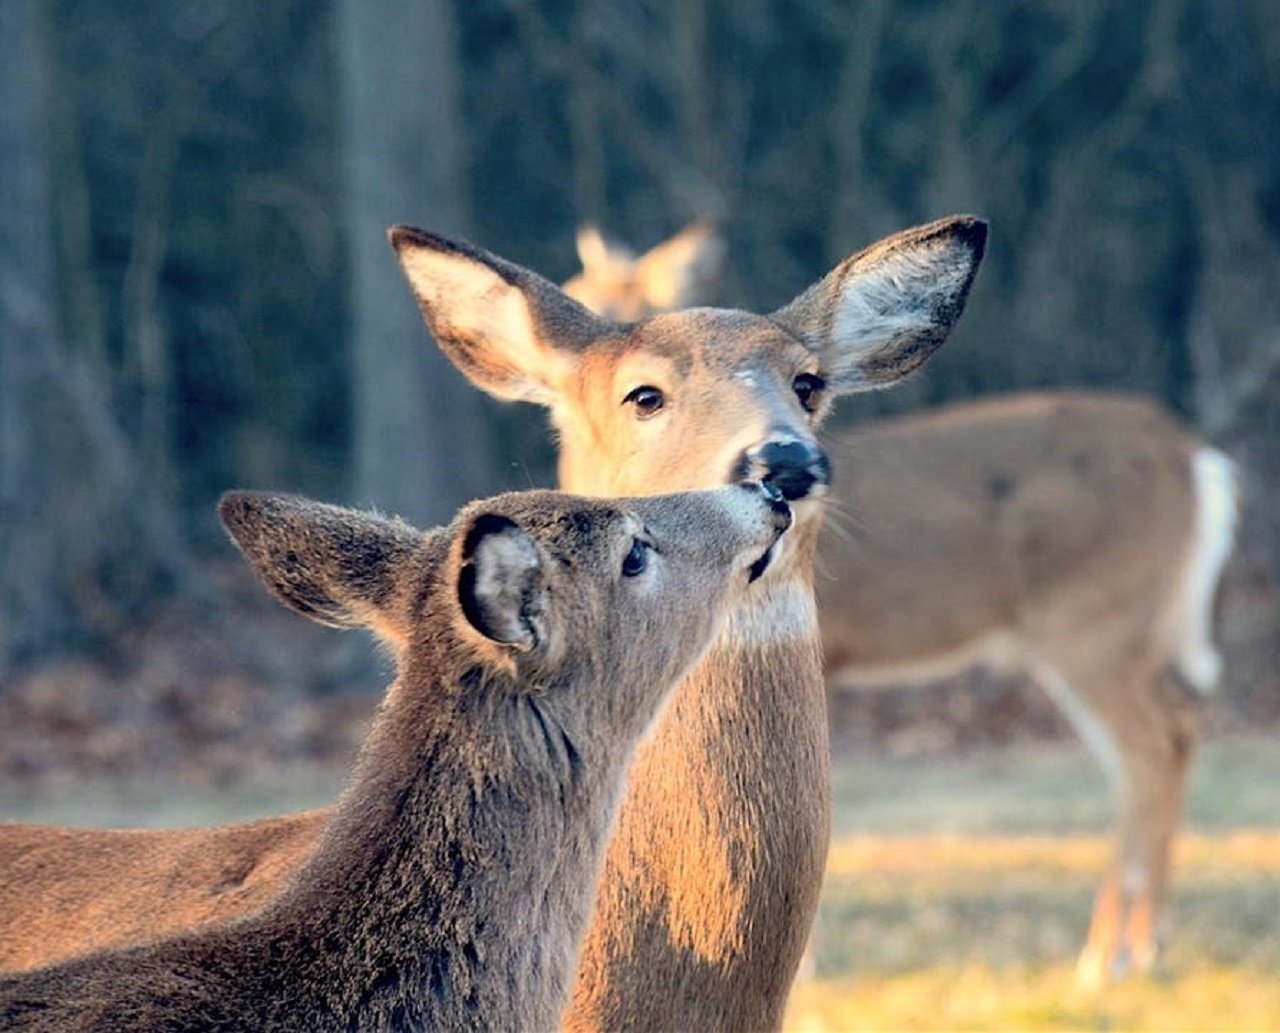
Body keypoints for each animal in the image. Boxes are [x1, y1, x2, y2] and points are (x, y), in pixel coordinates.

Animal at [814, 391, 1233, 988]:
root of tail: (1193, 456)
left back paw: (1107, 957)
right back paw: (1145, 942)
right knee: (1173, 734)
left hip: (1094, 628)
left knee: (1148, 750)